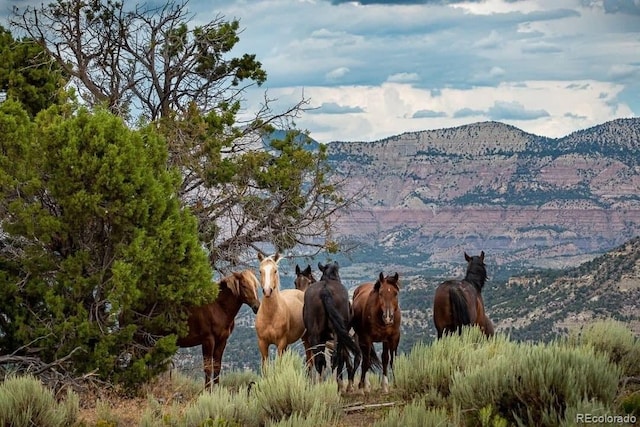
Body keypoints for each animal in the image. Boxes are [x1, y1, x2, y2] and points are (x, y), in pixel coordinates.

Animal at [302, 260, 360, 392]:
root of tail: (325, 289)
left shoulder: (323, 339)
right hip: (337, 334)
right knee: (336, 358)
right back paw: (338, 387)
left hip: (315, 335)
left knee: (320, 360)